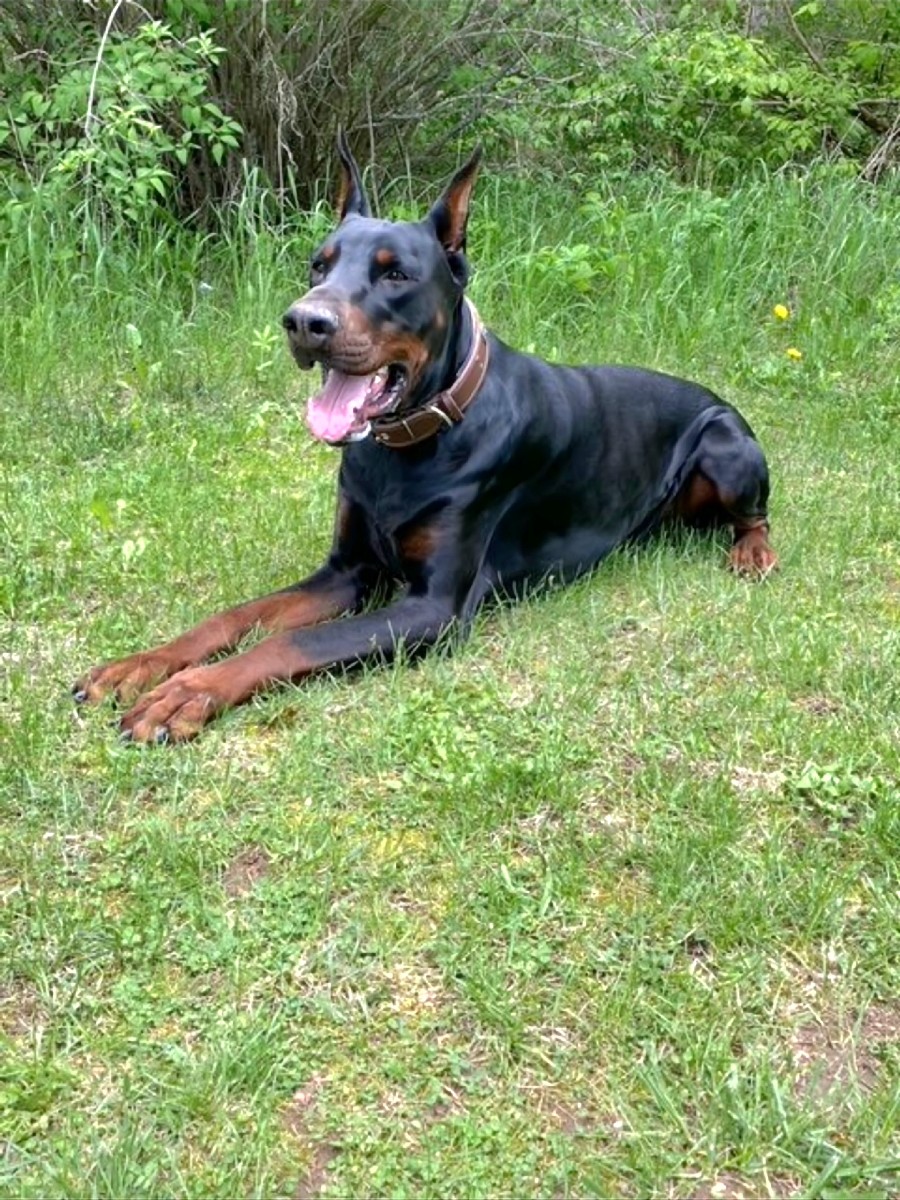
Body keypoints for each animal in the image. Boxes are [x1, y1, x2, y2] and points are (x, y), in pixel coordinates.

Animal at [73, 134, 776, 742]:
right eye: (318, 265)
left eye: (396, 275)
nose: (304, 321)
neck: (408, 445)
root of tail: (717, 397)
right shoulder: (347, 570)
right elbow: (239, 615)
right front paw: (141, 666)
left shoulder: (432, 608)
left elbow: (288, 641)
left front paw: (189, 693)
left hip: (727, 447)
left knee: (757, 516)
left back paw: (752, 553)